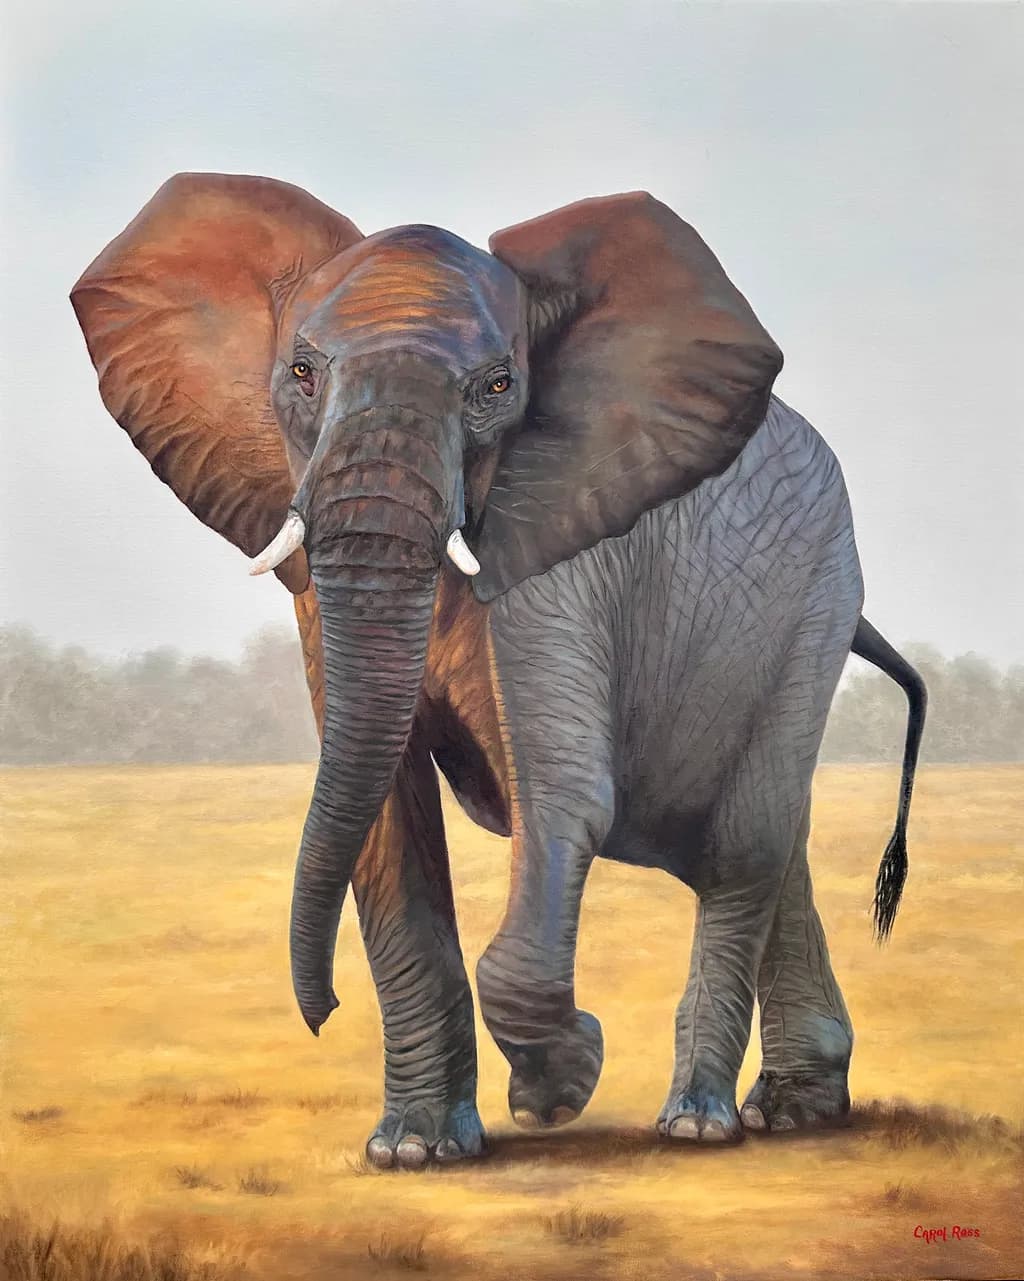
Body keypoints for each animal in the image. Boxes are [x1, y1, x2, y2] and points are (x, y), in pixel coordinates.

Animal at [72, 173, 926, 1169]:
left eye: (498, 386)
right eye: (301, 373)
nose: (319, 1012)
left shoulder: (562, 565)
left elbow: (562, 797)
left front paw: (559, 1087)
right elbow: (384, 813)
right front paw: (413, 1150)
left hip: (814, 605)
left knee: (744, 843)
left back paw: (698, 1122)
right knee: (773, 843)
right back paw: (793, 1109)